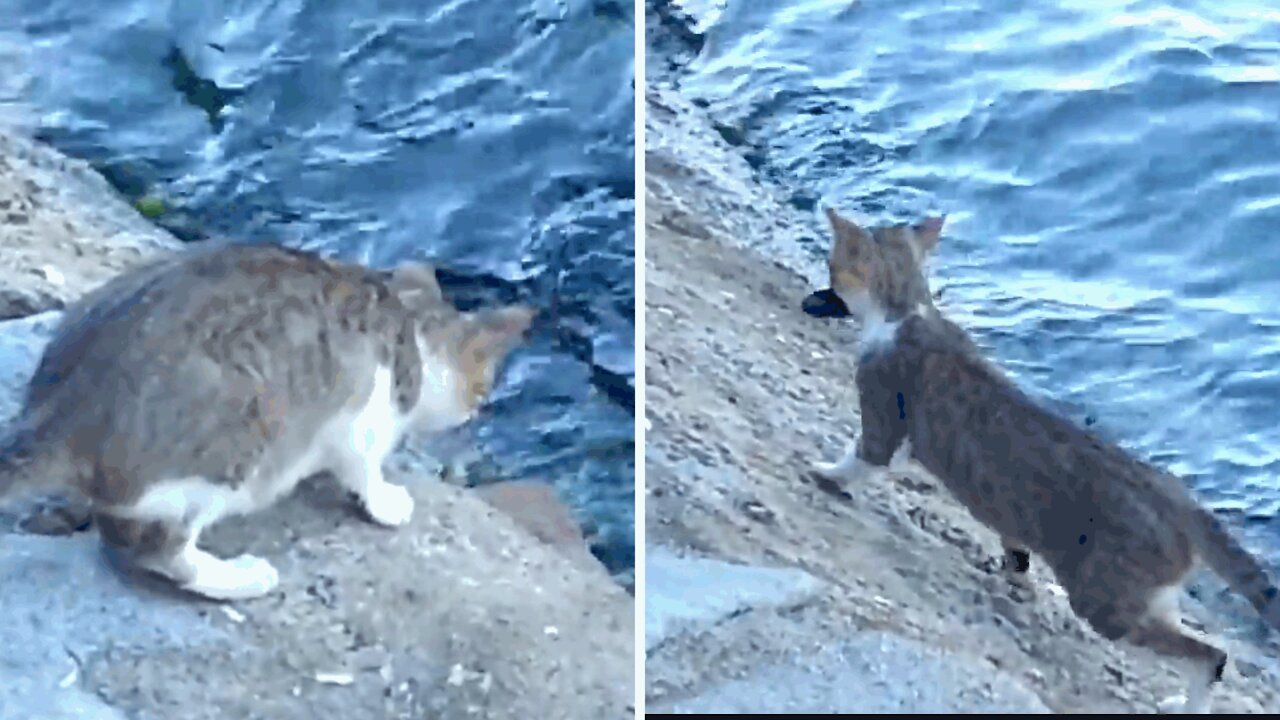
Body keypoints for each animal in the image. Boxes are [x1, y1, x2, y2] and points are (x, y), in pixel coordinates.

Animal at [0, 240, 535, 599]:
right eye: (483, 388)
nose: (476, 411)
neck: (406, 320)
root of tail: (63, 410)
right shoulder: (362, 416)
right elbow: (363, 469)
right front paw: (385, 501)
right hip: (241, 444)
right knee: (153, 548)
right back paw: (239, 577)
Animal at [803, 207, 1280, 712]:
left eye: (833, 264)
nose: (823, 289)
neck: (907, 314)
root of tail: (1180, 501)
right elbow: (1008, 543)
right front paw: (1012, 567)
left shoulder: (883, 409)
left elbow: (862, 456)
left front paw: (826, 472)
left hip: (1104, 597)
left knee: (1211, 655)